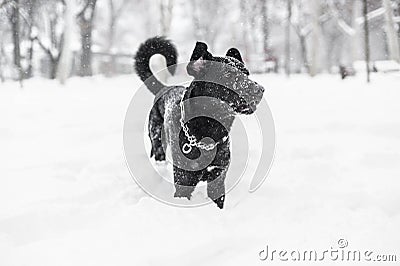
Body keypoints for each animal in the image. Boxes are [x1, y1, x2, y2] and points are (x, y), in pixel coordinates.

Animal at [135, 36, 266, 209]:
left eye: (247, 73)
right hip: (157, 140)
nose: (261, 90)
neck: (210, 131)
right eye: (228, 75)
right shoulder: (184, 181)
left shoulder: (218, 179)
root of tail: (165, 89)